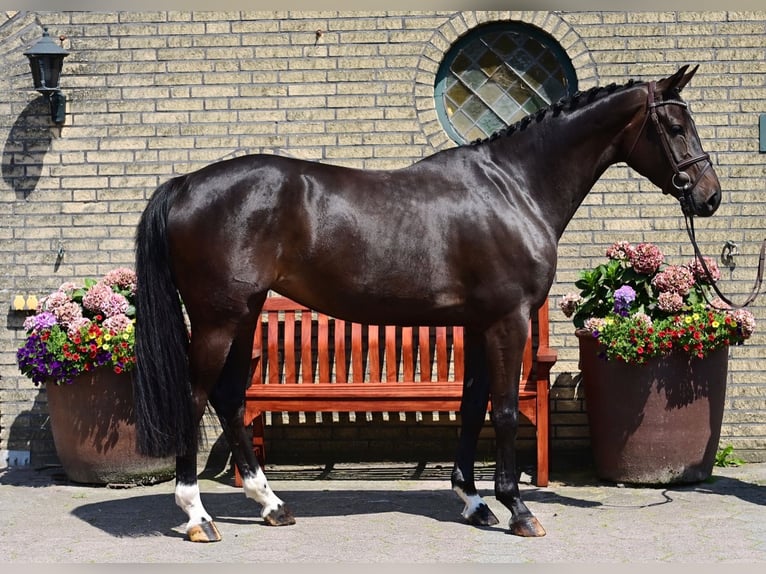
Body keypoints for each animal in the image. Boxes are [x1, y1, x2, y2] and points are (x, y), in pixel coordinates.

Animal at [134, 65, 728, 544]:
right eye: (677, 127)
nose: (710, 197)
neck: (513, 188)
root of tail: (185, 184)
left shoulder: (478, 325)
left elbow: (471, 407)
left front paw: (475, 502)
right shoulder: (508, 321)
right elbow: (504, 412)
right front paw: (518, 509)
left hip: (246, 314)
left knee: (230, 397)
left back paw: (270, 504)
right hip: (218, 318)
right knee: (195, 396)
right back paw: (197, 516)